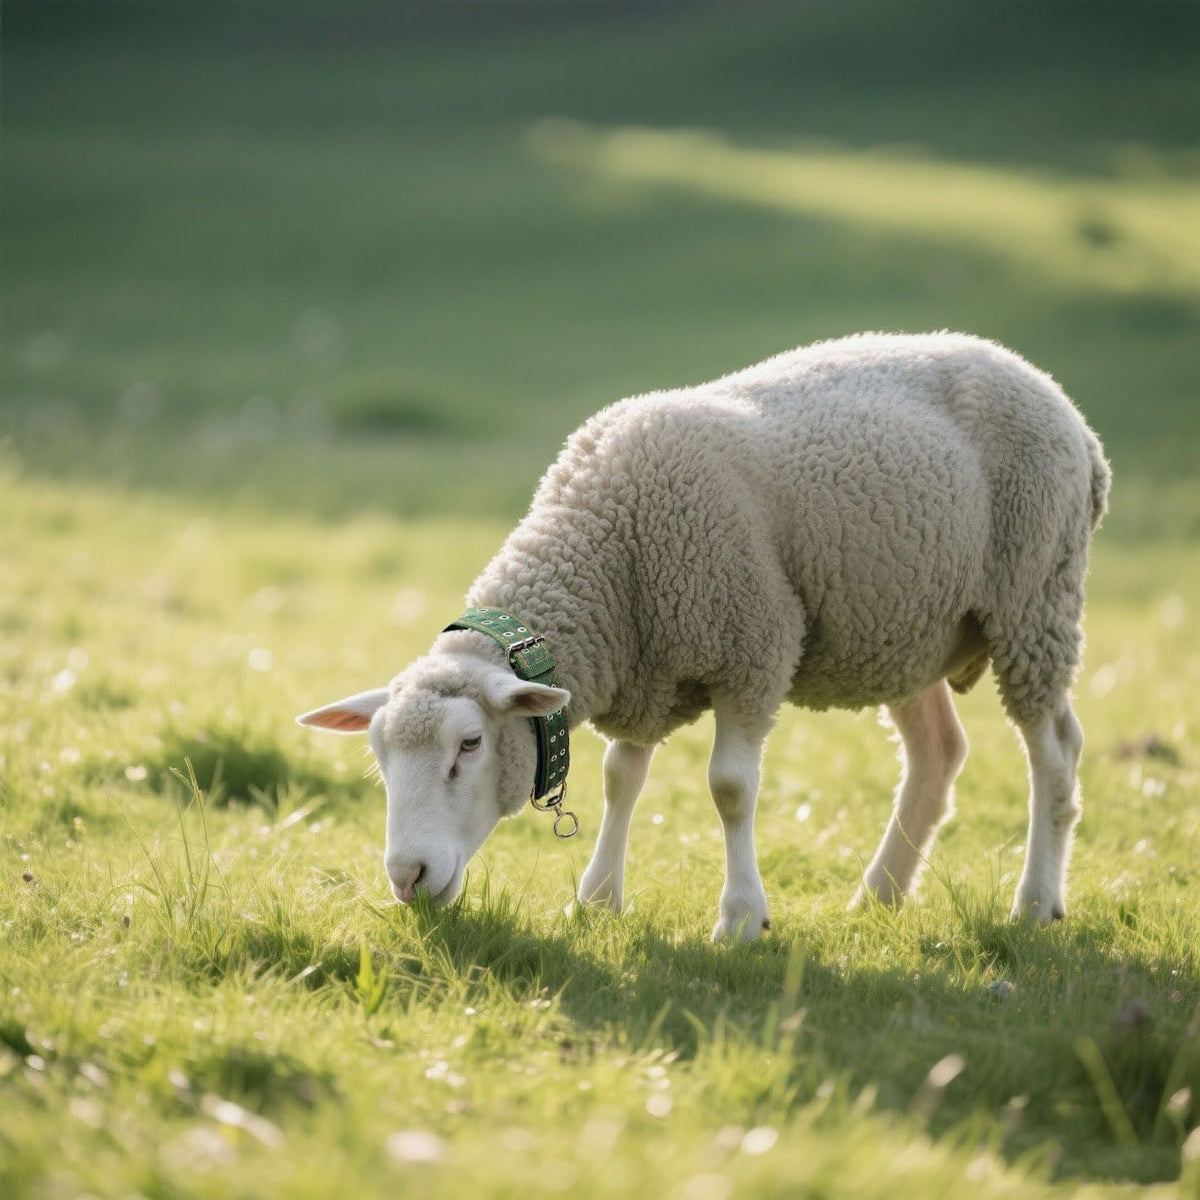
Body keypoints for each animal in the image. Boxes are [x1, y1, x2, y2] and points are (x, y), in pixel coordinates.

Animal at [298, 332, 1110, 941]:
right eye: (378, 756)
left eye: (469, 745)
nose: (407, 878)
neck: (609, 552)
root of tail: (1066, 408)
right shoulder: (644, 668)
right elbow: (620, 778)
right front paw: (597, 900)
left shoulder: (755, 649)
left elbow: (729, 788)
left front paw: (741, 920)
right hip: (906, 628)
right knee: (938, 754)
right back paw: (879, 894)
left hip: (1033, 598)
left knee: (1053, 750)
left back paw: (1036, 901)